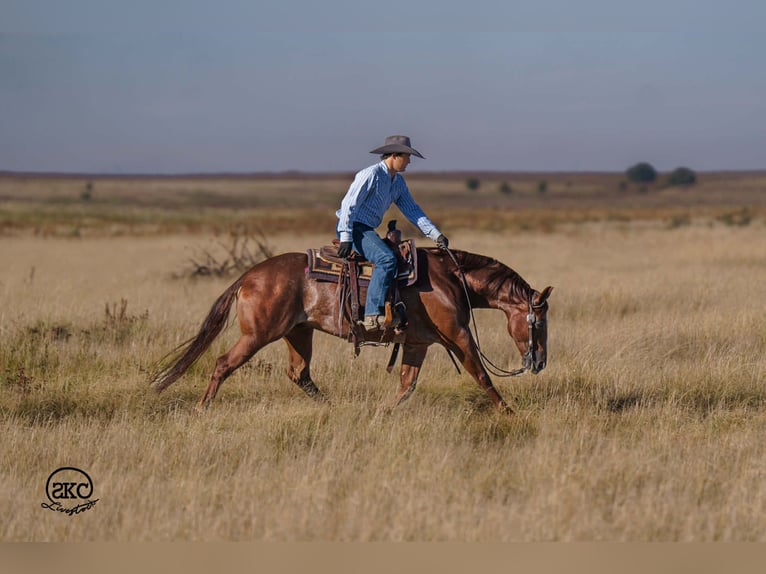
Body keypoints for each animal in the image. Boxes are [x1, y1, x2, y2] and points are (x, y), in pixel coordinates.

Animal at [150, 247, 552, 413]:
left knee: (300, 374)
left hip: (299, 333)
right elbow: (483, 377)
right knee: (222, 364)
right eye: (538, 322)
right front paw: (509, 413)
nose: (540, 362)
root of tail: (248, 276)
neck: (450, 279)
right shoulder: (458, 337)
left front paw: (383, 413)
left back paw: (334, 408)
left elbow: (406, 386)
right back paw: (202, 409)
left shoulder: (418, 343)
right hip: (257, 336)